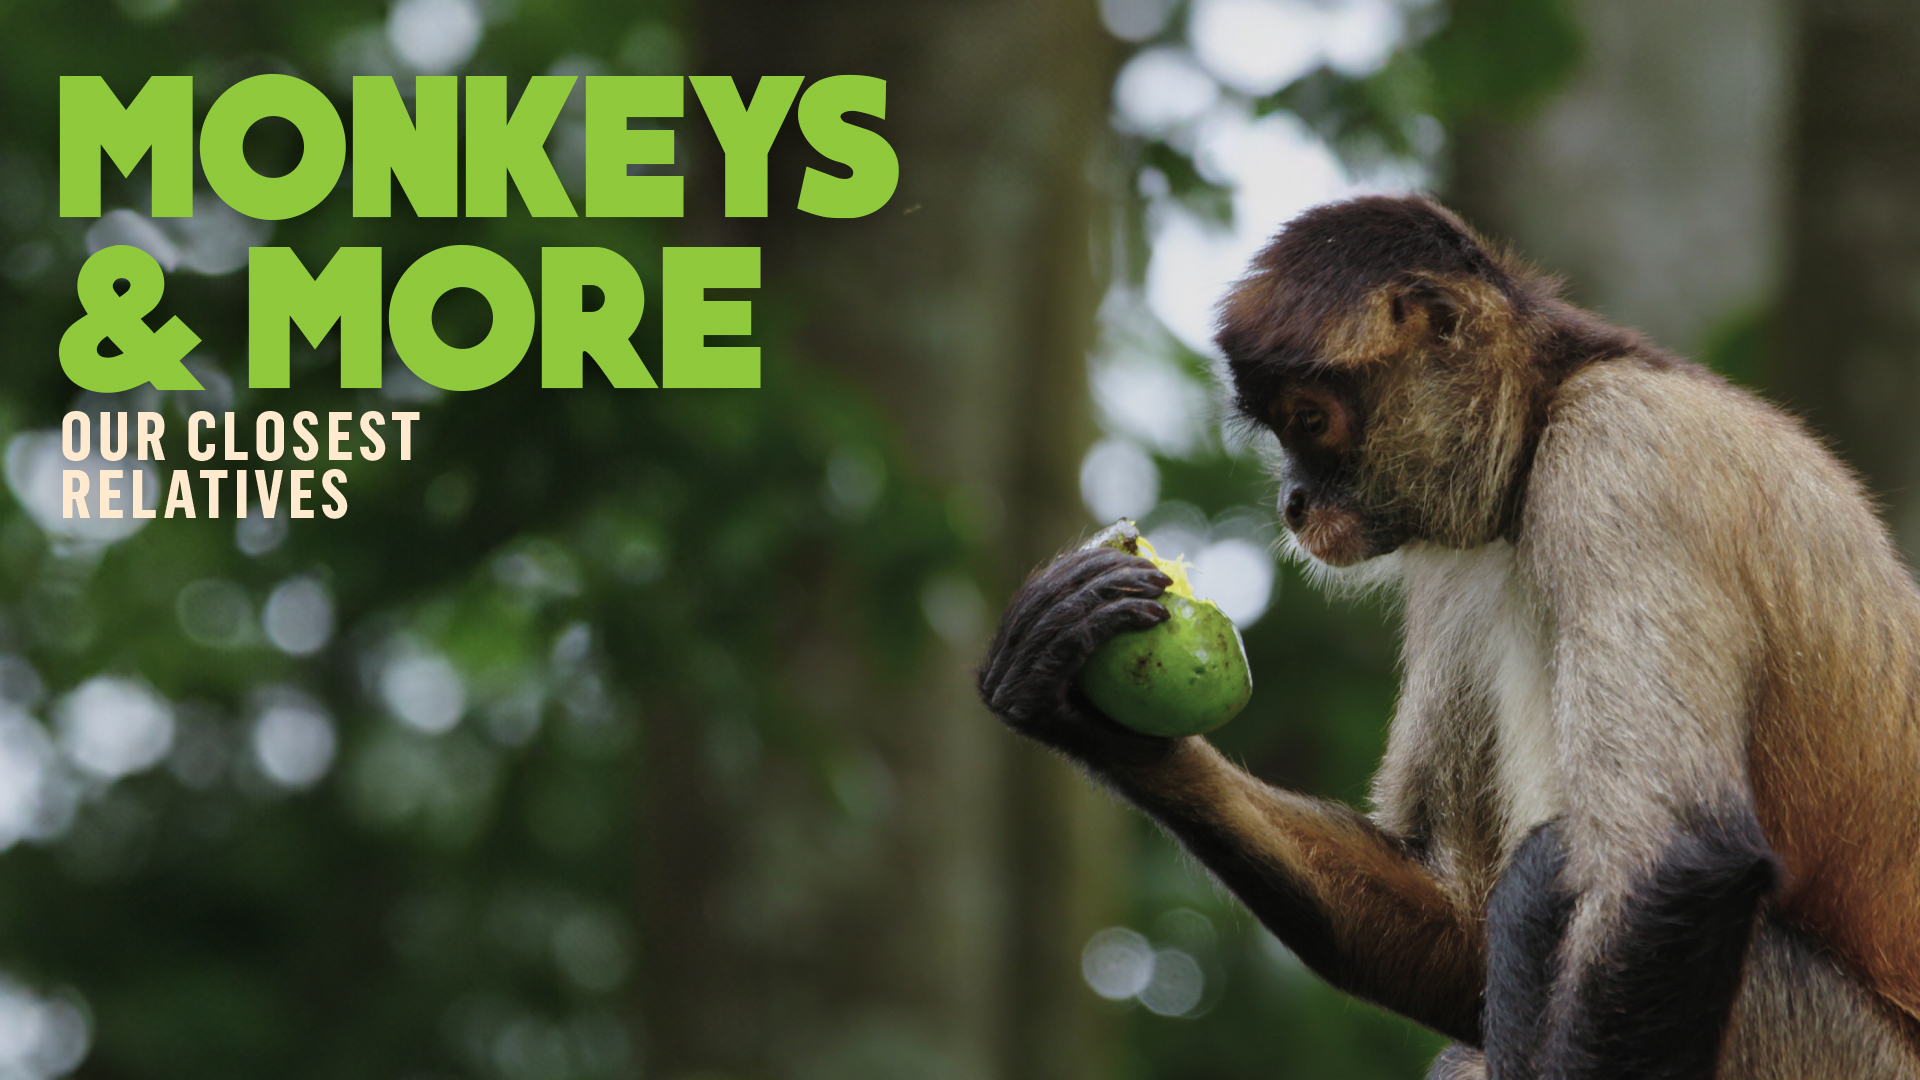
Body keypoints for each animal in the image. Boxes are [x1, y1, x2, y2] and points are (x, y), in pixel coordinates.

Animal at [978, 195, 1920, 1078]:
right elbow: (1465, 932)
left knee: (1550, 871)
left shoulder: (1623, 451)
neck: (1547, 414)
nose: (1292, 501)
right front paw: (1076, 708)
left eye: (1310, 421)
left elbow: (1681, 856)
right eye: (1284, 432)